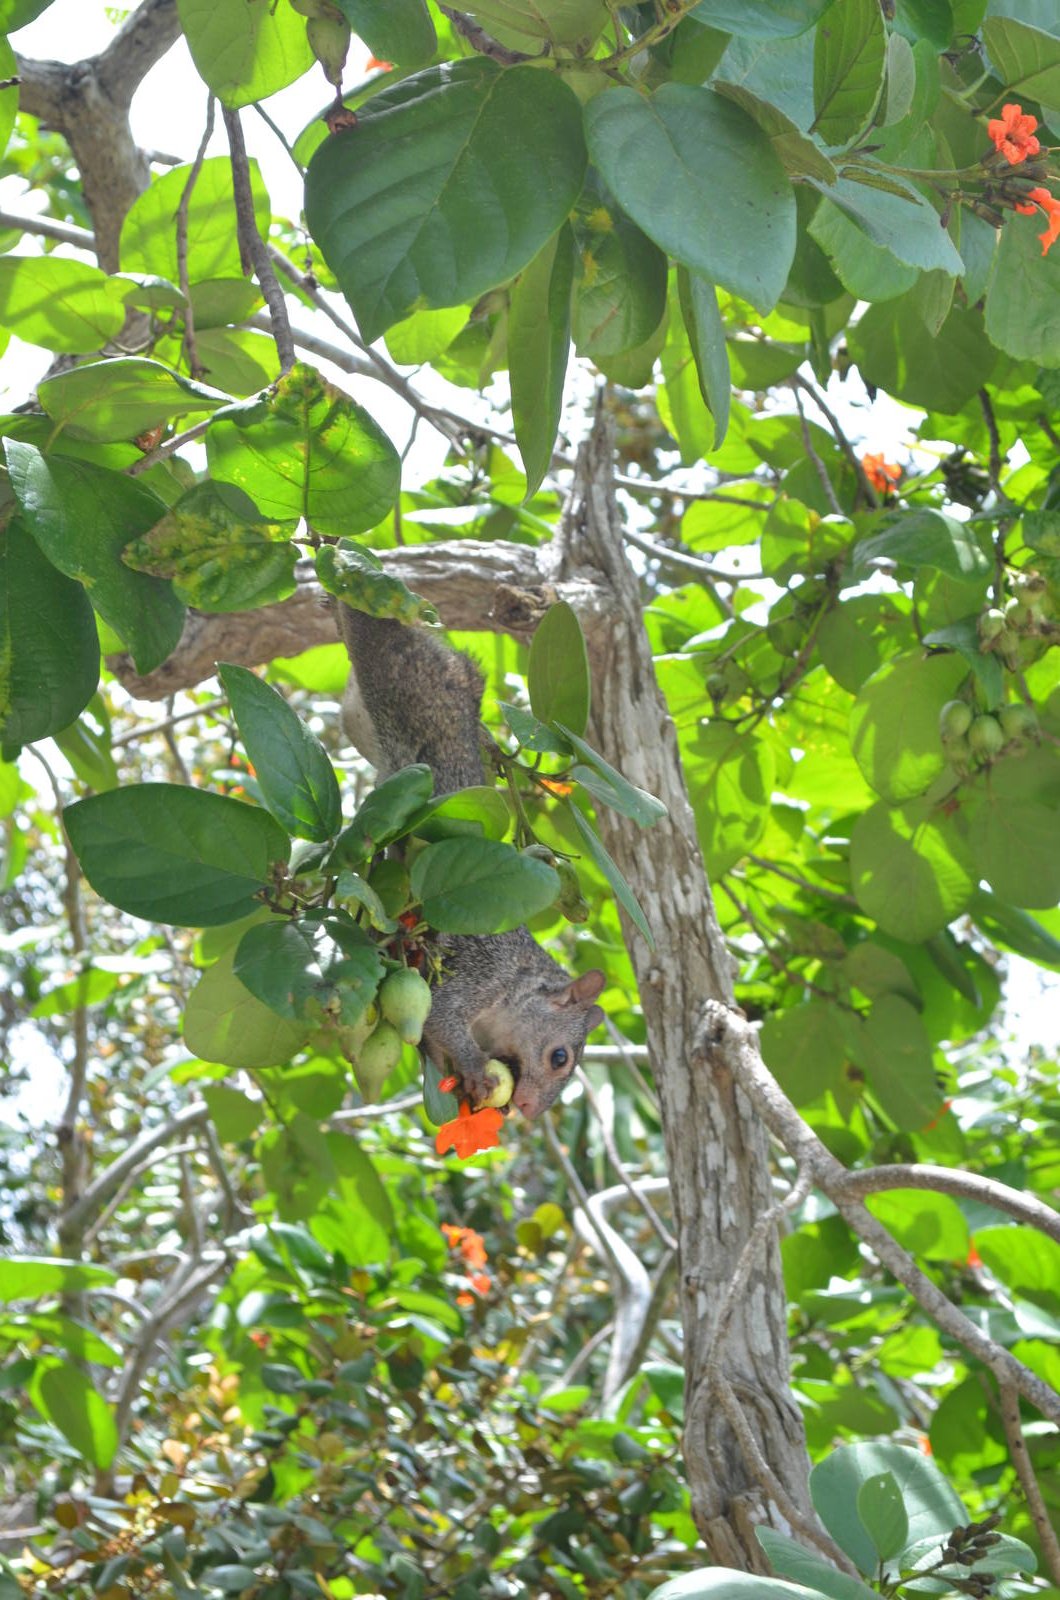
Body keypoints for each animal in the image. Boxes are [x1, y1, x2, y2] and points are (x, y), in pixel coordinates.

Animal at [338, 606, 606, 1119]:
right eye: (560, 1057)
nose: (527, 1110)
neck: (516, 984)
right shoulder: (479, 976)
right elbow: (441, 1017)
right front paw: (477, 1070)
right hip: (399, 690)